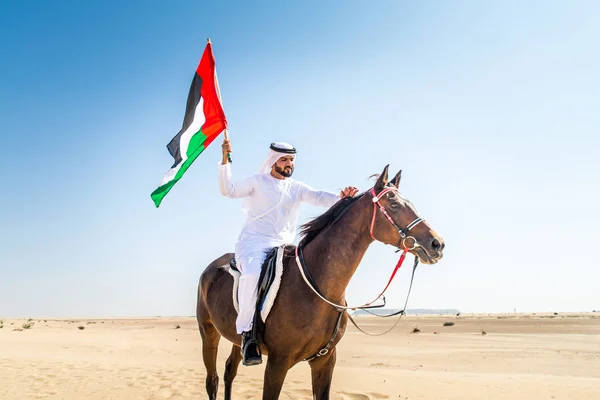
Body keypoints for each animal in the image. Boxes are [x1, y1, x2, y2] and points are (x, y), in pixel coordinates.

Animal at [195, 164, 442, 398]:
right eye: (394, 205)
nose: (437, 243)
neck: (317, 289)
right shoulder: (277, 363)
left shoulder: (324, 361)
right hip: (208, 333)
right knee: (212, 380)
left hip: (236, 338)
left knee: (229, 371)